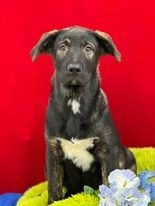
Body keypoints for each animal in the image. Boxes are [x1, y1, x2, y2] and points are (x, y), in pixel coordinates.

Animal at [30, 26, 136, 204]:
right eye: (62, 48)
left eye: (88, 49)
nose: (74, 69)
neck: (75, 100)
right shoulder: (52, 151)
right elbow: (53, 187)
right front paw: (54, 202)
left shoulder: (107, 151)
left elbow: (109, 184)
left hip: (126, 155)